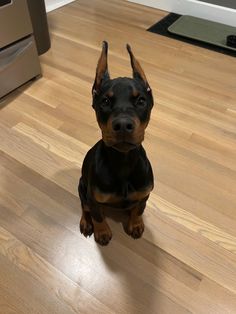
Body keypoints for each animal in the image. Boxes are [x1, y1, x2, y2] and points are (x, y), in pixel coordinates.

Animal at [78, 41, 154, 245]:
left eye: (141, 100)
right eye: (104, 101)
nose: (123, 125)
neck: (123, 162)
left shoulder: (145, 193)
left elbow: (139, 209)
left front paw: (135, 224)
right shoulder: (94, 198)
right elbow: (97, 215)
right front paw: (102, 232)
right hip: (82, 186)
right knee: (84, 206)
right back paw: (85, 222)